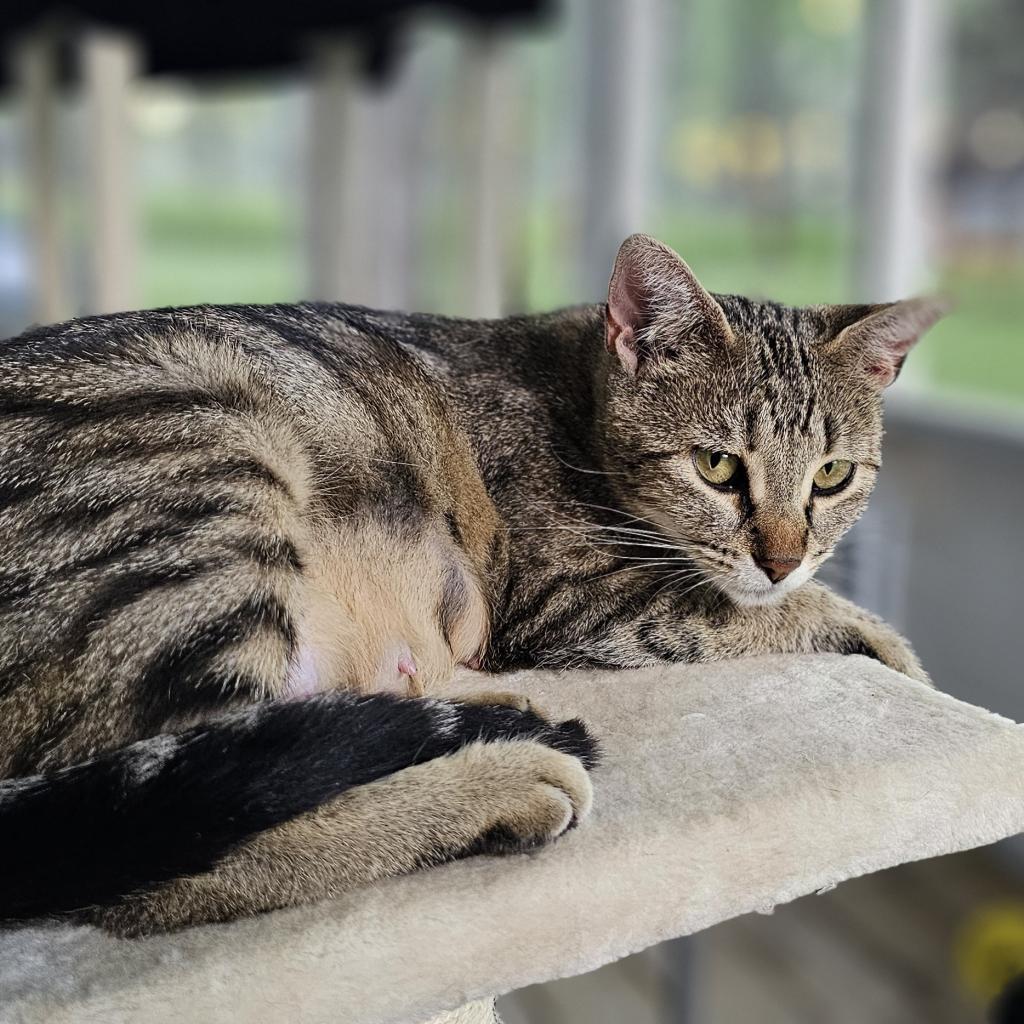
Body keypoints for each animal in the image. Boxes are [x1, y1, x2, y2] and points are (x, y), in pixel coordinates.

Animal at [0, 232, 942, 937]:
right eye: (717, 467)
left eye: (831, 475)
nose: (782, 557)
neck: (577, 398)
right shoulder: (579, 599)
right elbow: (752, 611)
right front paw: (896, 653)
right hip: (204, 483)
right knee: (161, 848)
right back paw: (497, 782)